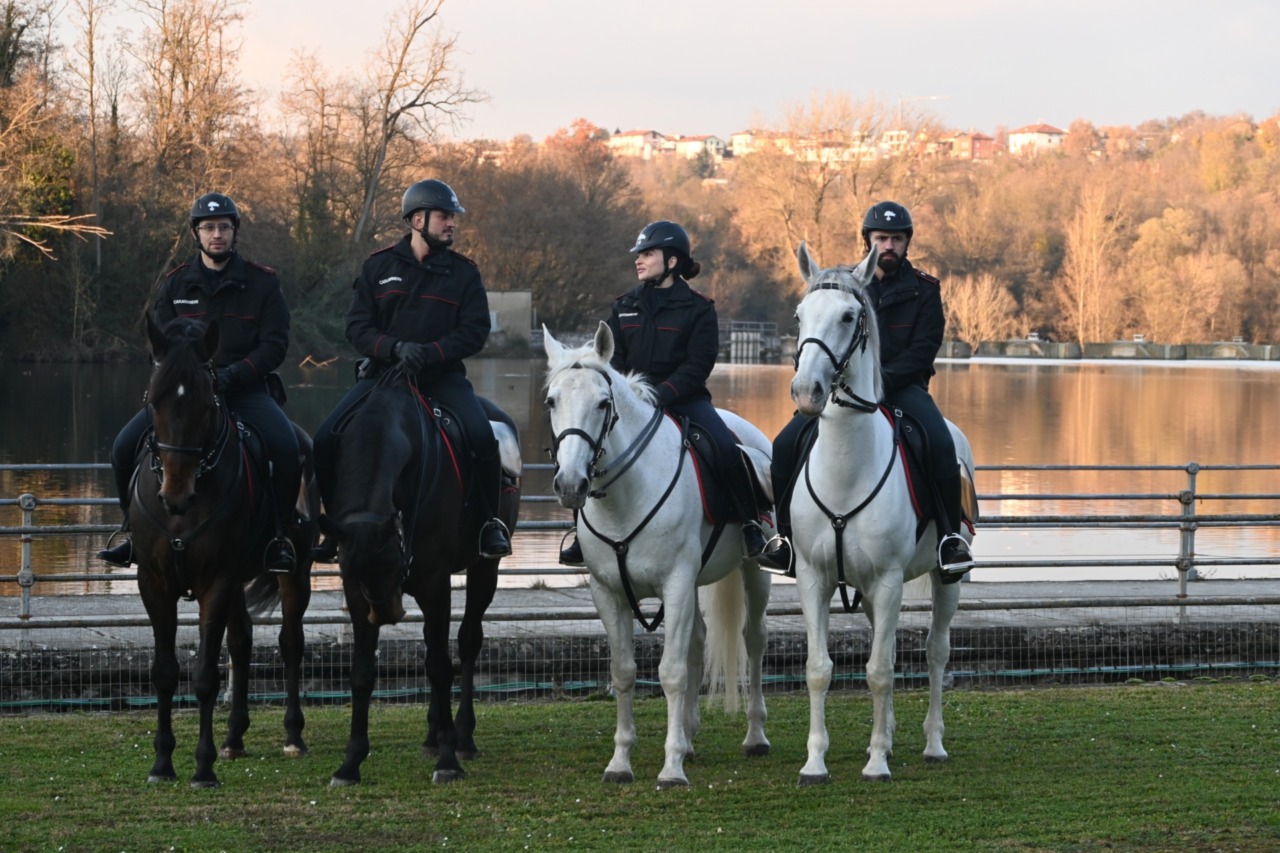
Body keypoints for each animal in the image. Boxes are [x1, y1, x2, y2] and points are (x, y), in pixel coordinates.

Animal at [132, 314, 317, 788]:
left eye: (207, 404)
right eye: (153, 401)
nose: (175, 495)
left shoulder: (216, 582)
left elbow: (205, 677)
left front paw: (203, 767)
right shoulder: (154, 583)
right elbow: (165, 673)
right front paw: (162, 764)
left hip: (294, 573)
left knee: (291, 642)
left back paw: (293, 735)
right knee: (242, 642)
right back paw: (234, 737)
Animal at [316, 366, 521, 785]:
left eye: (391, 565)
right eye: (360, 574)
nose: (386, 614)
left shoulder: (434, 581)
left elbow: (442, 667)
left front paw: (448, 760)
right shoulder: (355, 591)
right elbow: (362, 672)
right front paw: (351, 762)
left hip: (484, 569)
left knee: (467, 642)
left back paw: (462, 736)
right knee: (433, 645)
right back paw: (433, 733)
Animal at [543, 323, 773, 788]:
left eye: (603, 402)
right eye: (552, 401)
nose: (570, 484)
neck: (627, 494)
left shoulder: (677, 584)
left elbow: (671, 672)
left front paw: (671, 768)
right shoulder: (609, 593)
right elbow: (624, 672)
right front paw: (621, 761)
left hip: (753, 571)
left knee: (753, 640)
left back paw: (754, 736)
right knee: (698, 642)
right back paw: (688, 735)